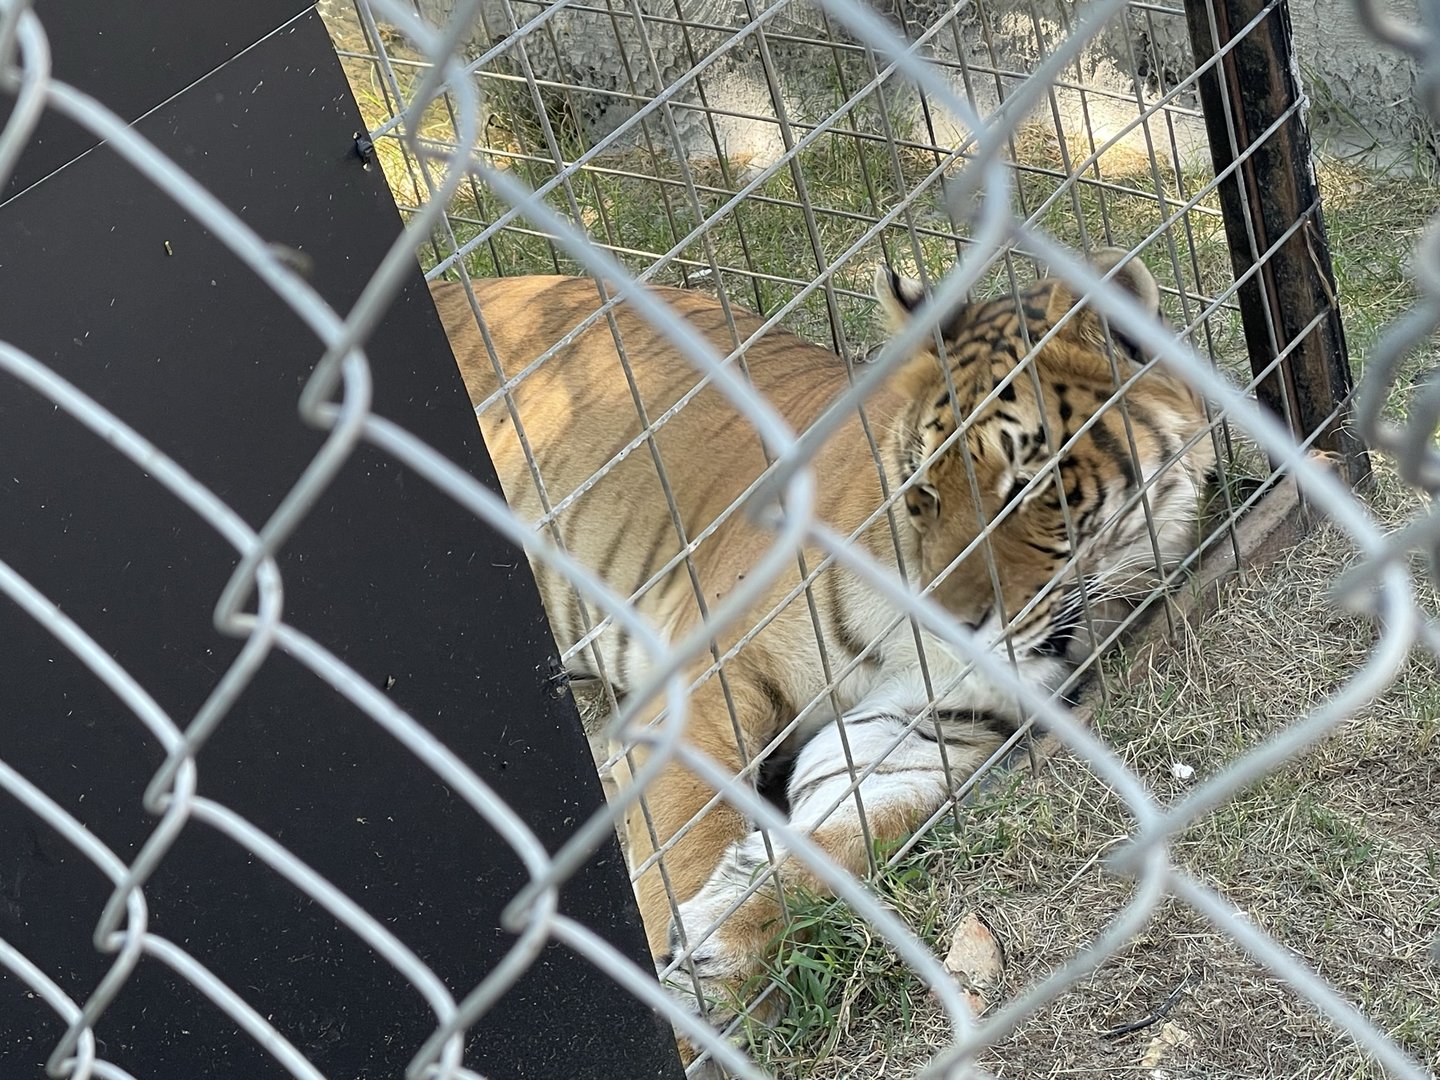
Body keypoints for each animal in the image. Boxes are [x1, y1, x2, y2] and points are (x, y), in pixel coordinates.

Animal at [431, 248, 1215, 1048]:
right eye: (924, 491)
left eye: (1028, 489)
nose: (951, 622)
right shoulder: (709, 681)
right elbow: (687, 834)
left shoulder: (923, 734)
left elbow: (842, 843)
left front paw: (723, 950)